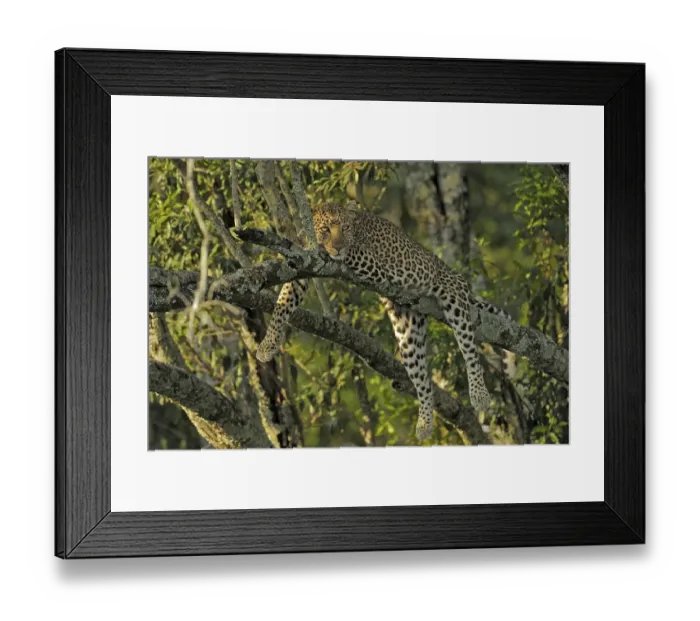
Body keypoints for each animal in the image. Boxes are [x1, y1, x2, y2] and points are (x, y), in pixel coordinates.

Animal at [256, 201, 510, 441]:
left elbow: (348, 251)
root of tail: (455, 275)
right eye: (326, 229)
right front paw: (268, 345)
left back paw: (479, 395)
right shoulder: (302, 267)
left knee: (469, 349)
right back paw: (425, 424)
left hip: (453, 295)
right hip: (407, 329)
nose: (337, 246)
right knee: (422, 379)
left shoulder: (369, 261)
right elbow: (284, 301)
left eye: (345, 229)